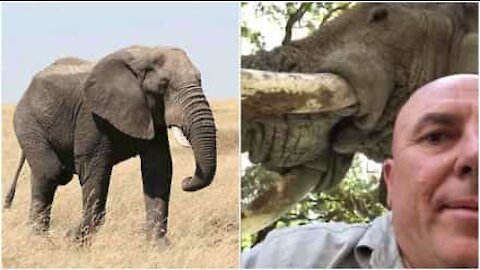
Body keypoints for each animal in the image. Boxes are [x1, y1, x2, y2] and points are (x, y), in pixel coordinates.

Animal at [3, 45, 218, 244]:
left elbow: (158, 168)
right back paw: (38, 240)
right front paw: (73, 240)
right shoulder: (91, 114)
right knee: (50, 171)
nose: (186, 180)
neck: (144, 54)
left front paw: (159, 247)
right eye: (164, 85)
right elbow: (94, 168)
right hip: (27, 121)